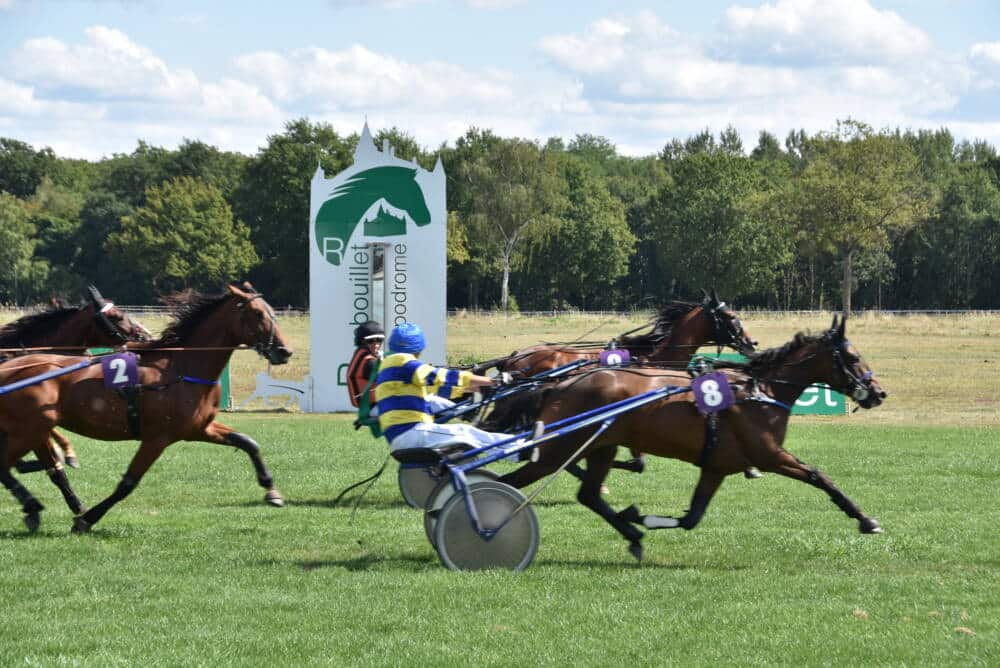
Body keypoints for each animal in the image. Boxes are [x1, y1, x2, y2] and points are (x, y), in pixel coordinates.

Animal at [496, 316, 888, 560]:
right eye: (853, 356)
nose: (879, 393)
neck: (759, 392)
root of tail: (557, 384)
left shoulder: (716, 466)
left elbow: (692, 517)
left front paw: (640, 517)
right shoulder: (769, 454)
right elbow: (820, 477)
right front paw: (866, 520)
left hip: (600, 447)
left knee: (588, 495)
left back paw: (633, 536)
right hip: (559, 449)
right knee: (511, 481)